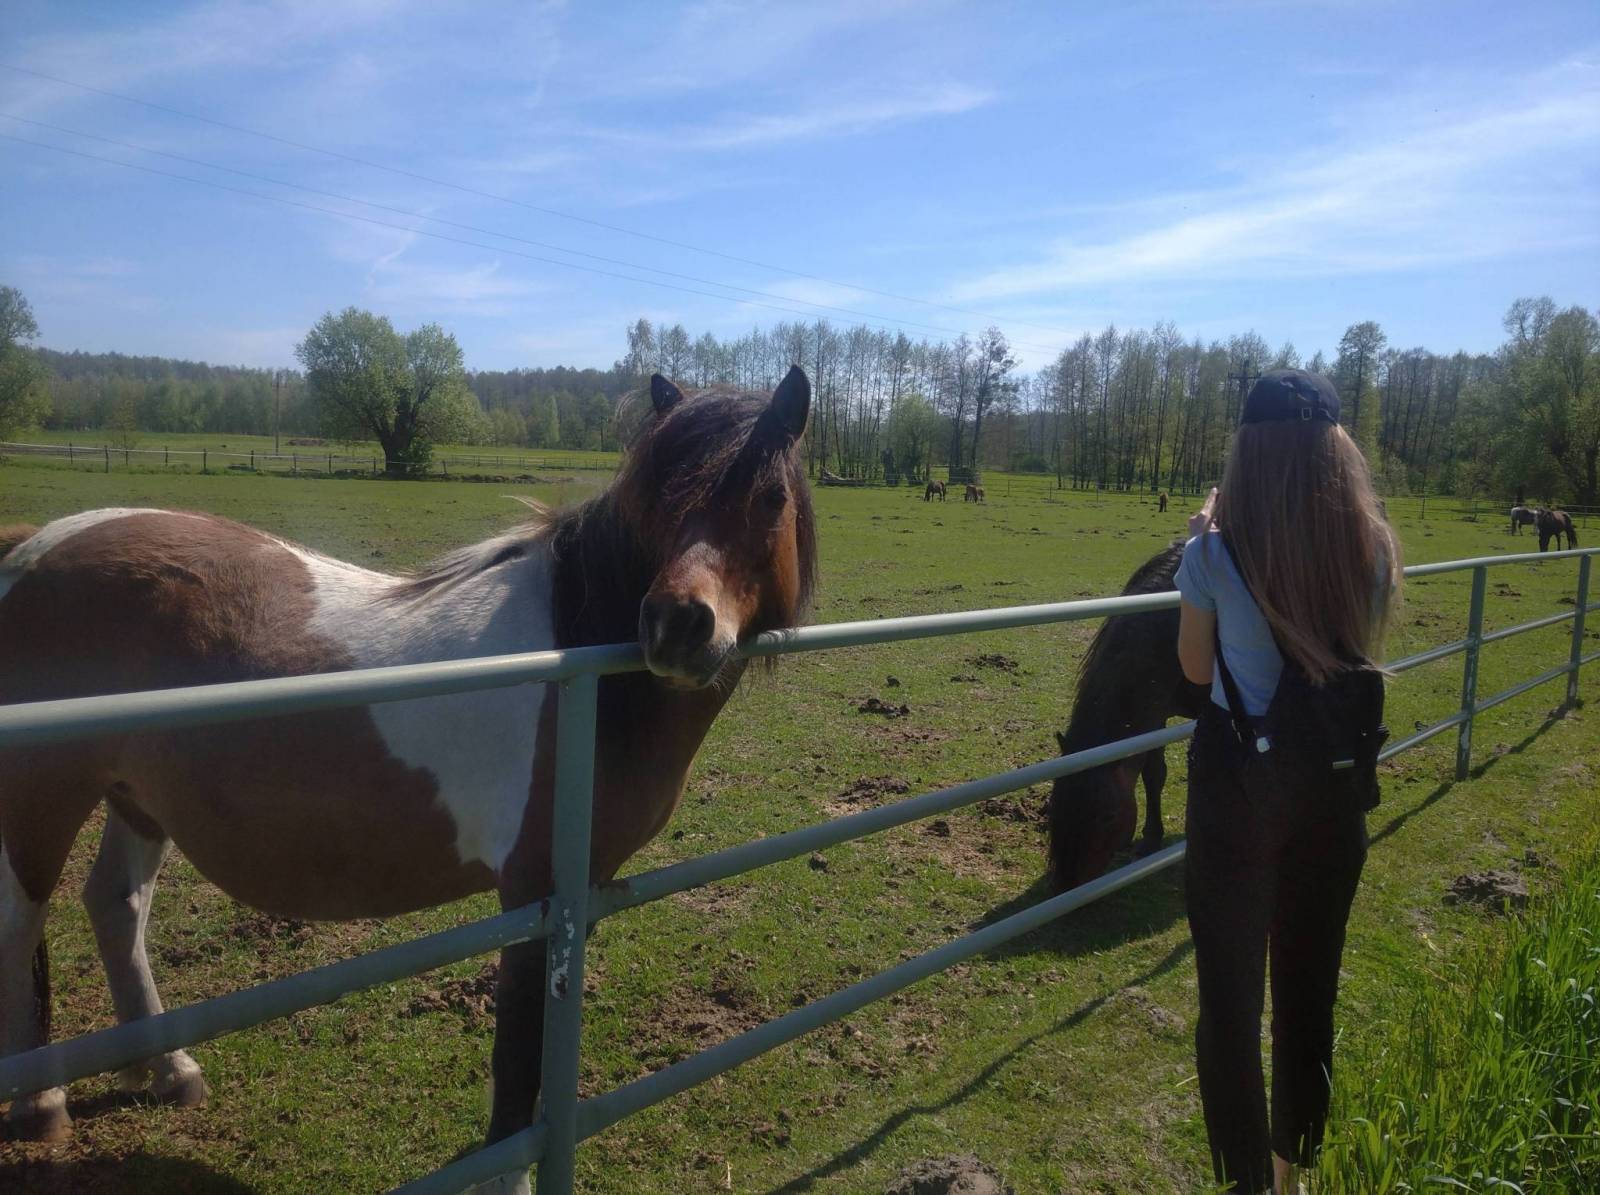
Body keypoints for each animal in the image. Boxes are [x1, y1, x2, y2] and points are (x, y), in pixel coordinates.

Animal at [0, 369, 816, 1194]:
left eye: (770, 497)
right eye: (658, 498)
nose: (677, 625)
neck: (581, 659)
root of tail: (27, 550)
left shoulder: (579, 897)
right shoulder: (537, 894)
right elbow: (518, 1061)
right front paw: (510, 1175)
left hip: (135, 797)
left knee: (116, 905)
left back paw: (168, 1069)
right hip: (40, 798)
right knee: (22, 920)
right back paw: (42, 1101)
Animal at [1046, 542, 1209, 891]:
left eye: (1108, 816)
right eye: (1055, 804)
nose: (1067, 884)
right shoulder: (1155, 716)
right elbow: (1153, 774)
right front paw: (1150, 839)